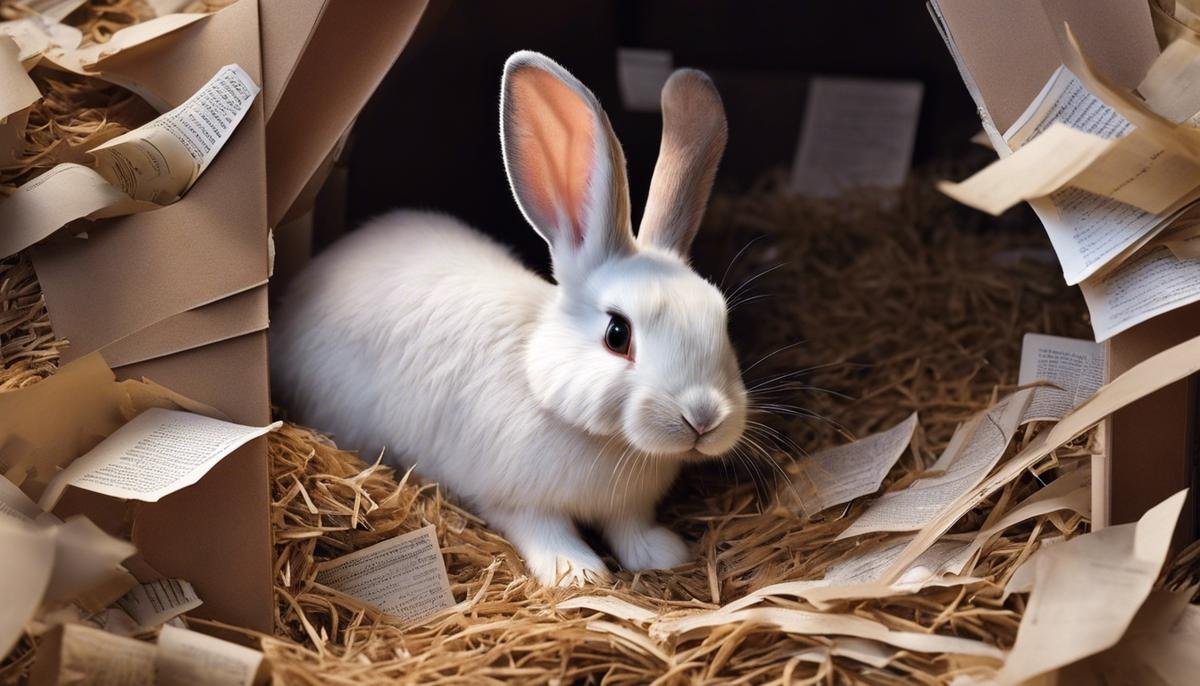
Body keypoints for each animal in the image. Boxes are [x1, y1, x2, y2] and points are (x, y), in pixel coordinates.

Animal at [272, 50, 744, 585]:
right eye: (617, 334)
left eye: (723, 322)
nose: (703, 417)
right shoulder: (517, 500)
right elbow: (545, 530)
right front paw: (578, 573)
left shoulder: (628, 508)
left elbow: (631, 528)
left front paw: (662, 554)